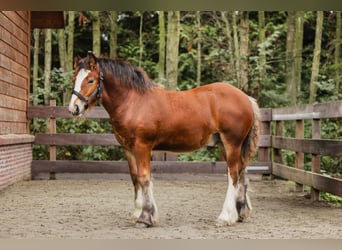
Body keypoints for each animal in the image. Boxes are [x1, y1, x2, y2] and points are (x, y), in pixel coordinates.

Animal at [69, 51, 262, 228]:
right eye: (75, 78)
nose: (74, 108)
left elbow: (144, 178)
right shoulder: (128, 148)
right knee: (241, 173)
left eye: (91, 80)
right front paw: (137, 213)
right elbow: (135, 178)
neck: (133, 102)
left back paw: (225, 216)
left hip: (232, 144)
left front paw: (145, 218)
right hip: (226, 146)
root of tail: (245, 98)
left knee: (233, 175)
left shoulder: (142, 147)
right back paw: (240, 213)